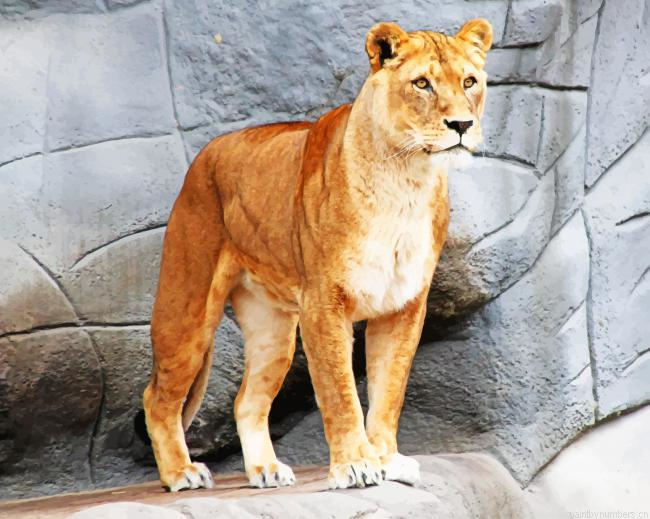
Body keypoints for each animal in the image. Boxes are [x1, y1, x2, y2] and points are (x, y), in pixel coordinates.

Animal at [143, 18, 492, 492]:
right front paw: (357, 464)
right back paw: (181, 472)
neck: (406, 181)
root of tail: (205, 154)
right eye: (422, 83)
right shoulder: (324, 303)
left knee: (246, 400)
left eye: (469, 81)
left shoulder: (403, 307)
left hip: (272, 330)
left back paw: (266, 470)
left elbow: (389, 390)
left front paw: (388, 459)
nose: (461, 124)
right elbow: (339, 390)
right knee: (158, 396)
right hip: (188, 309)